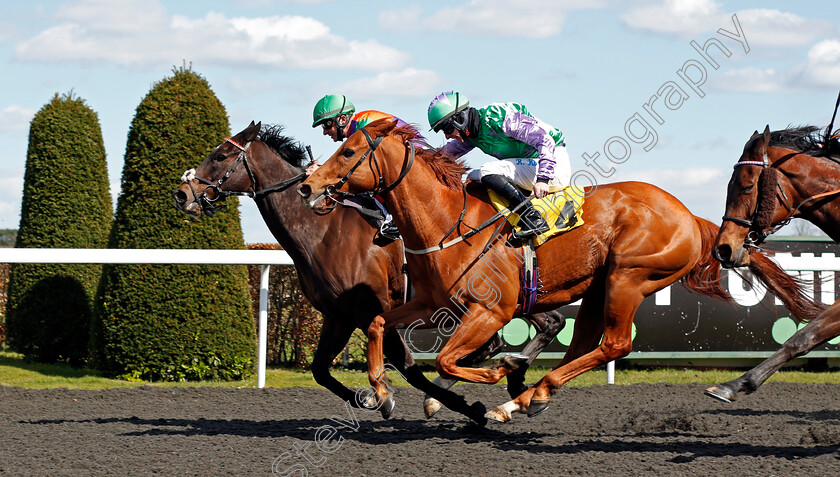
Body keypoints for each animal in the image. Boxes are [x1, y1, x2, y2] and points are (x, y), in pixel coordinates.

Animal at [171, 120, 564, 420]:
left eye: (220, 156)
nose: (181, 194)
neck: (321, 232)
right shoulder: (339, 315)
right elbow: (320, 371)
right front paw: (373, 398)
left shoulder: (373, 309)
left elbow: (411, 369)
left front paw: (454, 405)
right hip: (510, 297)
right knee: (545, 324)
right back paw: (516, 378)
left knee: (524, 331)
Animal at [296, 118, 820, 420]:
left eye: (347, 152)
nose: (307, 187)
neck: (448, 221)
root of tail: (691, 216)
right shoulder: (432, 302)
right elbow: (379, 323)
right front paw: (380, 391)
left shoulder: (490, 310)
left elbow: (446, 359)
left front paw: (499, 370)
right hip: (601, 285)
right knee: (586, 343)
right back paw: (523, 398)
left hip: (630, 277)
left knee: (615, 344)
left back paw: (528, 391)